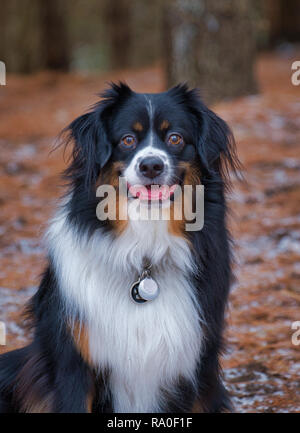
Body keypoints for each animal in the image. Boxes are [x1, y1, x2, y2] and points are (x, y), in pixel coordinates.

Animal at [0, 82, 239, 412]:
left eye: (175, 138)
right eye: (127, 140)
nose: (151, 165)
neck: (144, 255)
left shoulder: (191, 366)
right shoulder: (74, 364)